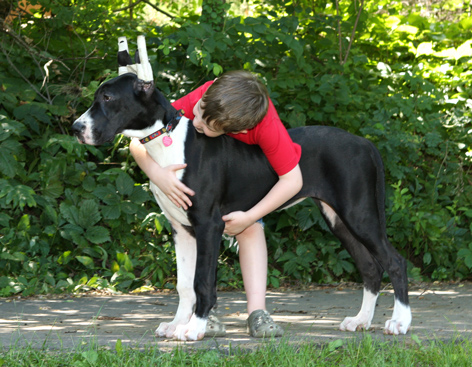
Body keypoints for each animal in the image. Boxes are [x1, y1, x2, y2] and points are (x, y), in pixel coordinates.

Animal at [70, 38, 410, 342]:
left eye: (108, 98)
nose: (75, 128)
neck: (167, 140)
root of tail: (365, 143)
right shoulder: (181, 229)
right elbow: (184, 284)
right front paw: (177, 324)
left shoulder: (208, 225)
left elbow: (202, 282)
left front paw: (194, 328)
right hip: (337, 218)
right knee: (369, 267)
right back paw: (361, 320)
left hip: (359, 213)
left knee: (394, 261)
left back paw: (400, 322)